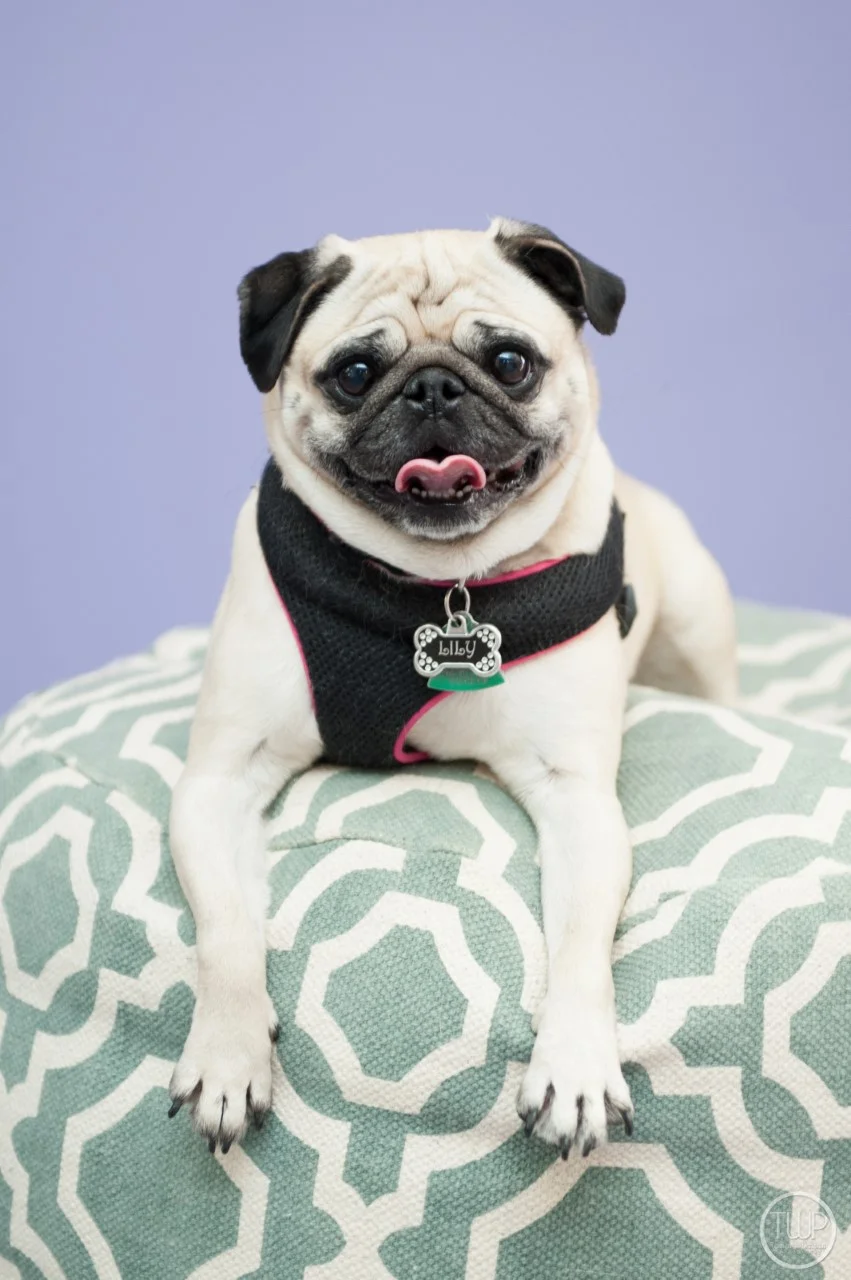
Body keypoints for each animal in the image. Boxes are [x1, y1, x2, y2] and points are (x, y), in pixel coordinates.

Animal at [168, 218, 737, 1156]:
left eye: (508, 362)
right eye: (355, 373)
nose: (432, 389)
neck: (432, 587)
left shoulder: (577, 800)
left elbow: (581, 950)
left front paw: (575, 1066)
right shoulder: (218, 781)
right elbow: (224, 935)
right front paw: (227, 1050)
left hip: (694, 634)